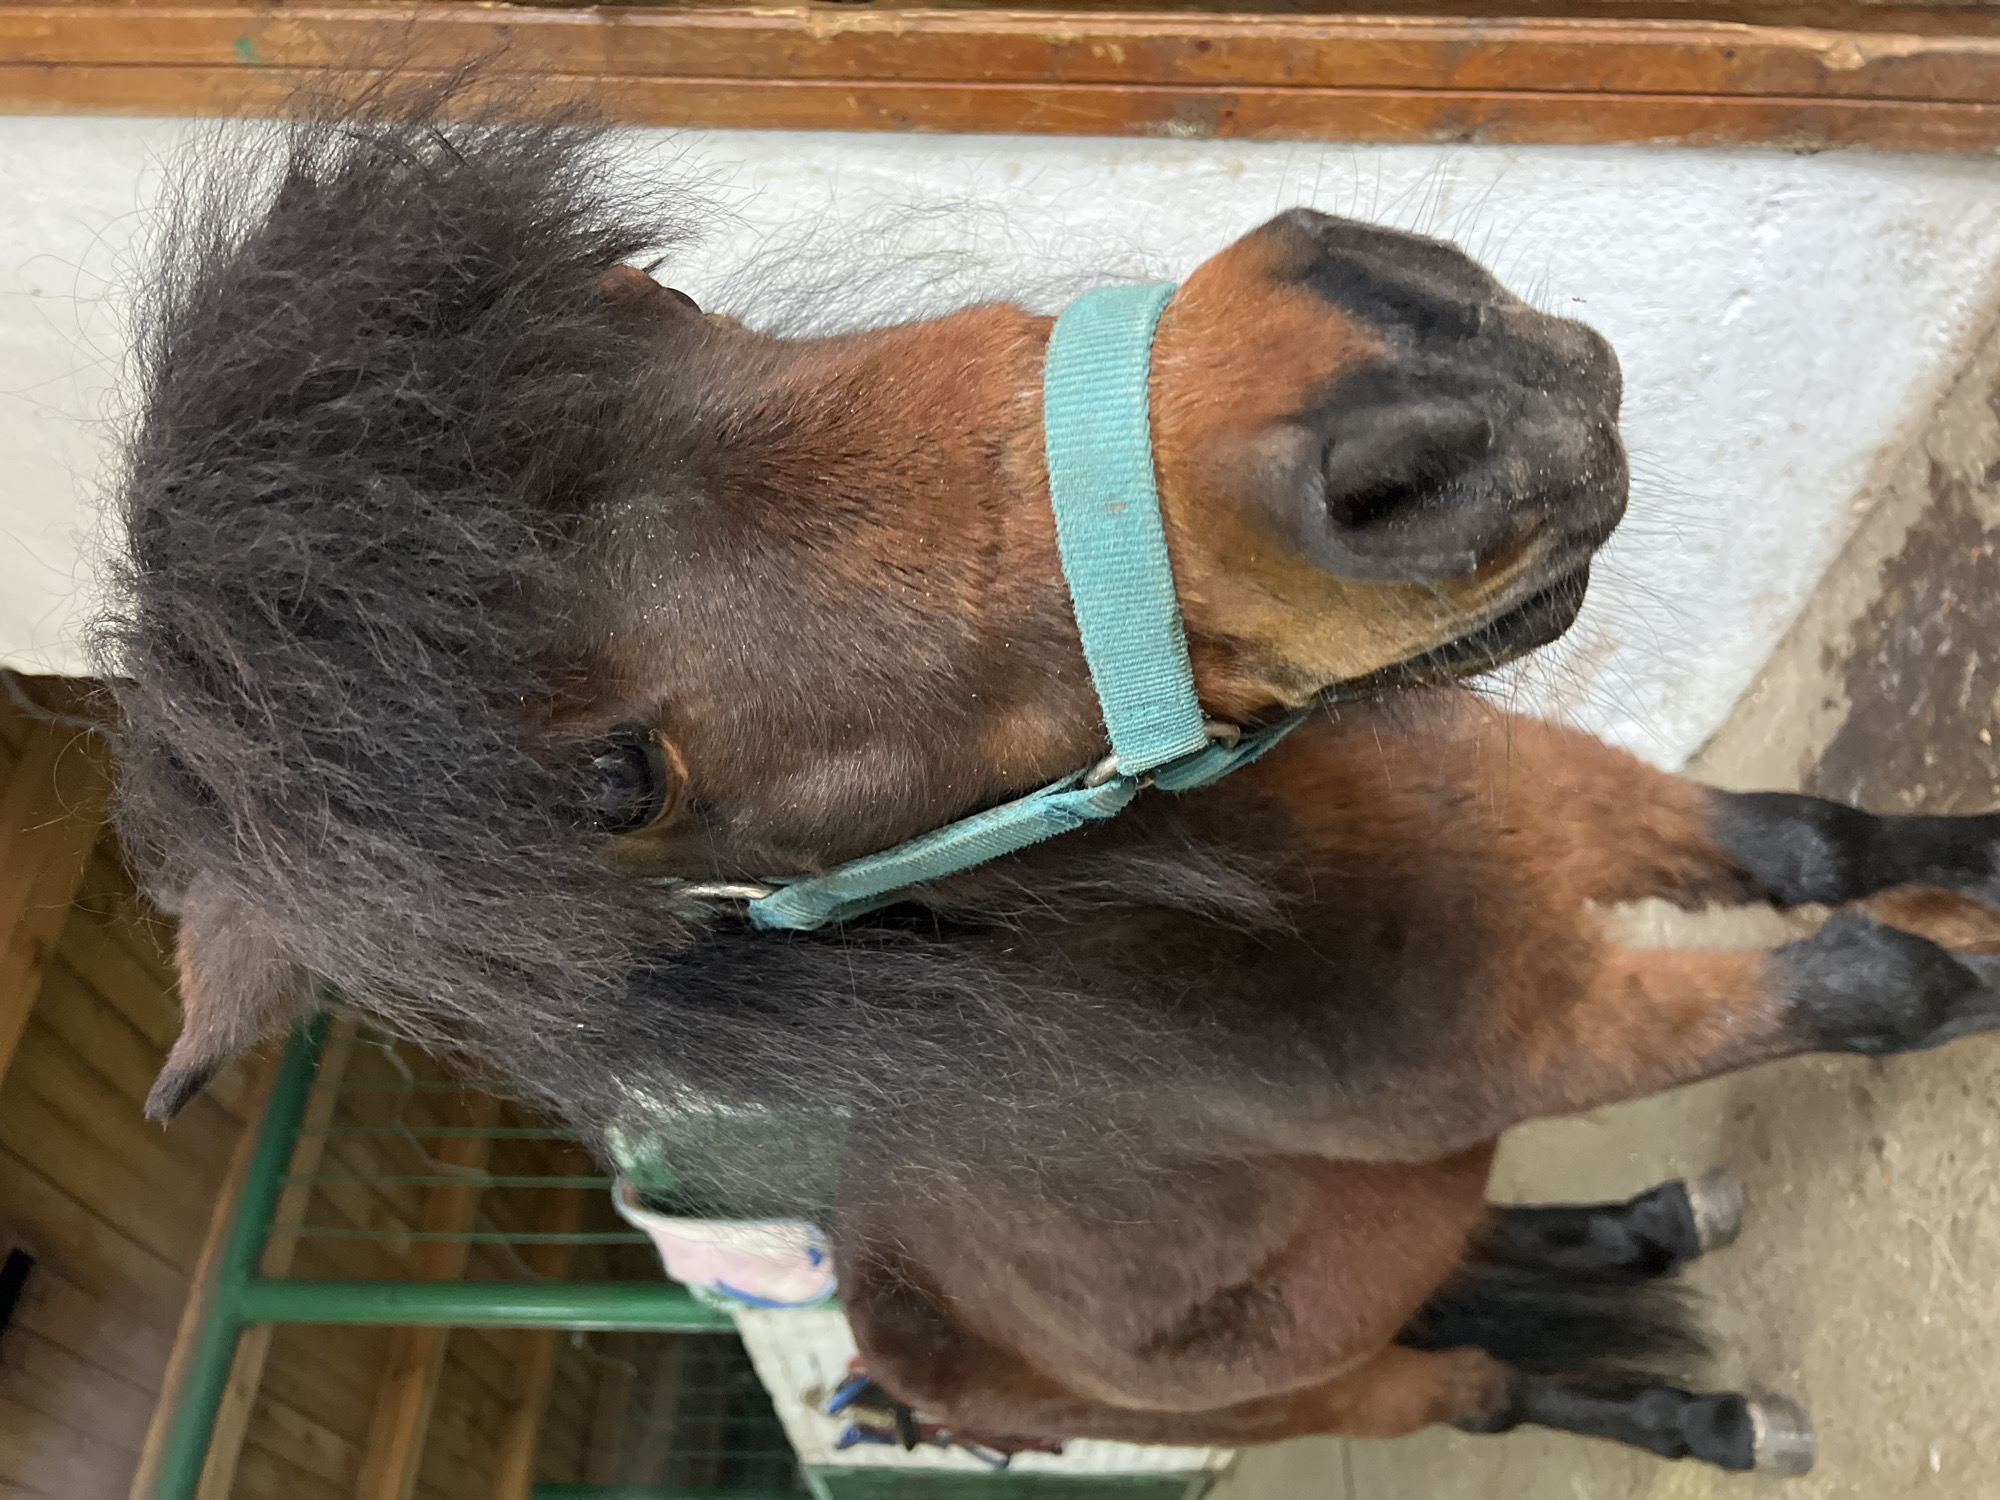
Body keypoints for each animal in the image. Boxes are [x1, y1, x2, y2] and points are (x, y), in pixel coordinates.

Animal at [100, 80, 2000, 1476]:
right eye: (611, 785)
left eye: (654, 301)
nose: (1419, 371)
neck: (1306, 908)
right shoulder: (1550, 1033)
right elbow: (1871, 981)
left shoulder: (1557, 798)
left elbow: (1812, 841)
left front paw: (1967, 854)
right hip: (1336, 1381)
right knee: (1472, 1376)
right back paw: (1703, 1407)